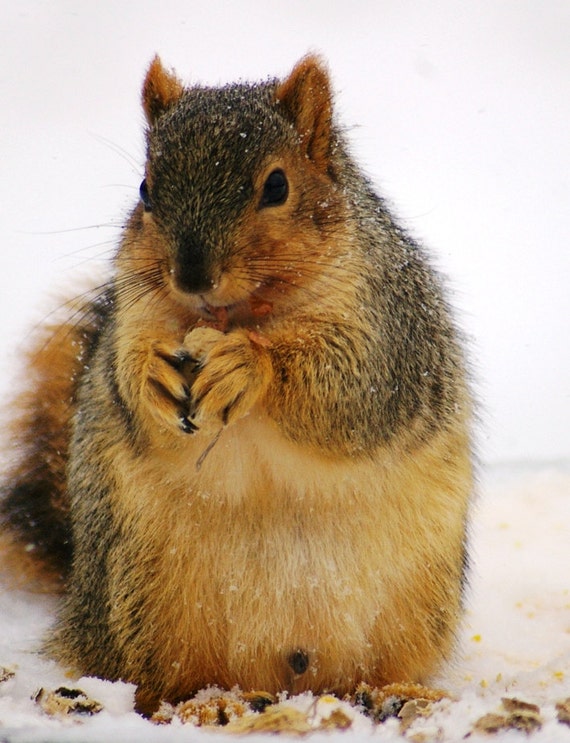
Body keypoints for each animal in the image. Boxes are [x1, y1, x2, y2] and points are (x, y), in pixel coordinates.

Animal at [0, 55, 473, 714]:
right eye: (145, 190)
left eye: (277, 186)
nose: (192, 274)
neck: (238, 317)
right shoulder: (133, 313)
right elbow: (126, 378)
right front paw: (150, 372)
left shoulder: (388, 331)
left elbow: (350, 389)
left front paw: (248, 367)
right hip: (143, 599)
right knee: (162, 677)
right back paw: (195, 704)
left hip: (410, 607)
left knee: (376, 669)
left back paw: (398, 692)